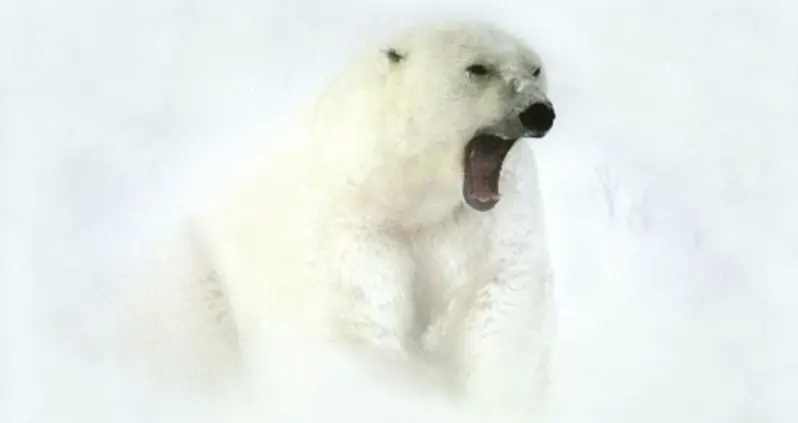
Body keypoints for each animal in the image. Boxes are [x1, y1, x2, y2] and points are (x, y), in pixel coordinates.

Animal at [118, 20, 557, 423]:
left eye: (534, 68)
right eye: (477, 68)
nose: (539, 112)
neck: (409, 194)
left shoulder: (489, 224)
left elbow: (499, 308)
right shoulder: (355, 227)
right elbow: (357, 328)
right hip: (192, 274)